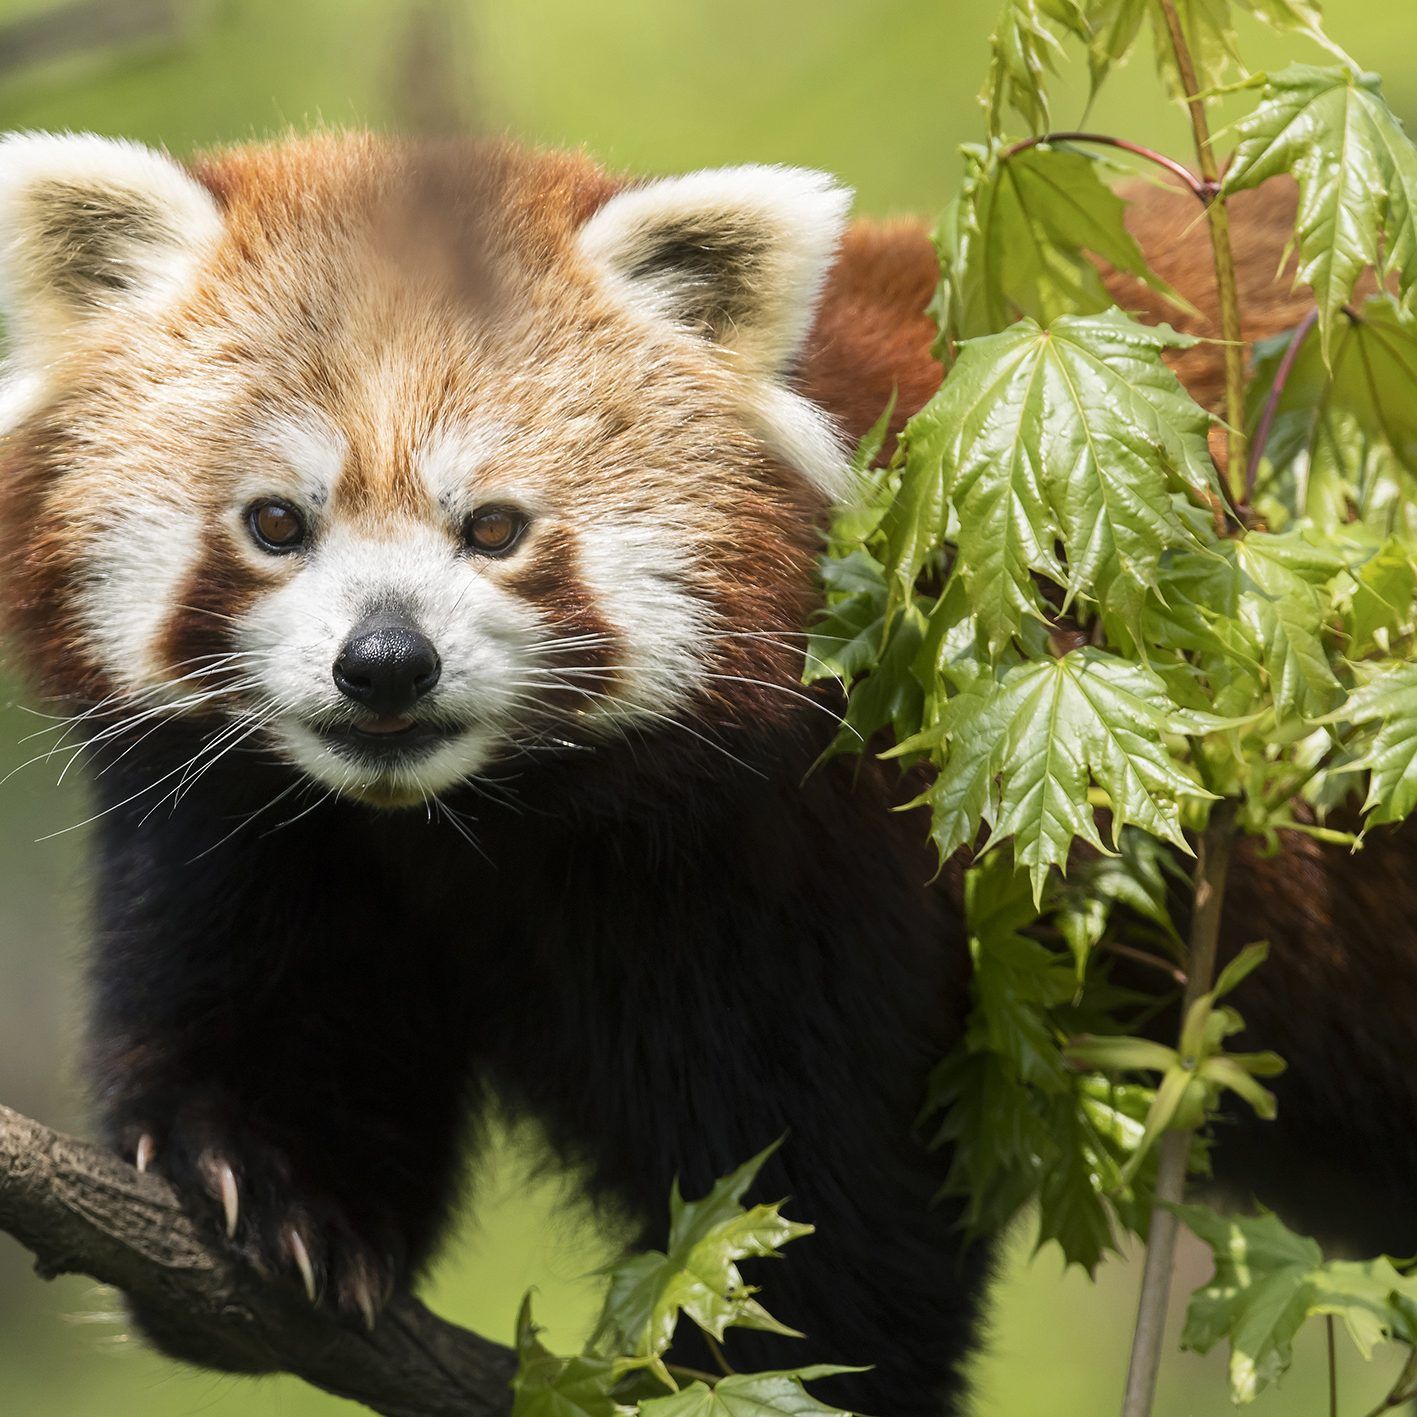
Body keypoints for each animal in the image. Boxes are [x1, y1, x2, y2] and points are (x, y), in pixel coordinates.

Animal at [0, 129, 1413, 1417]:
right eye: (277, 522)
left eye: (494, 527)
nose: (385, 663)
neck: (474, 819)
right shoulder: (264, 829)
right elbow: (275, 995)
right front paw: (262, 1191)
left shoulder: (817, 846)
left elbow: (824, 1182)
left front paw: (780, 1371)